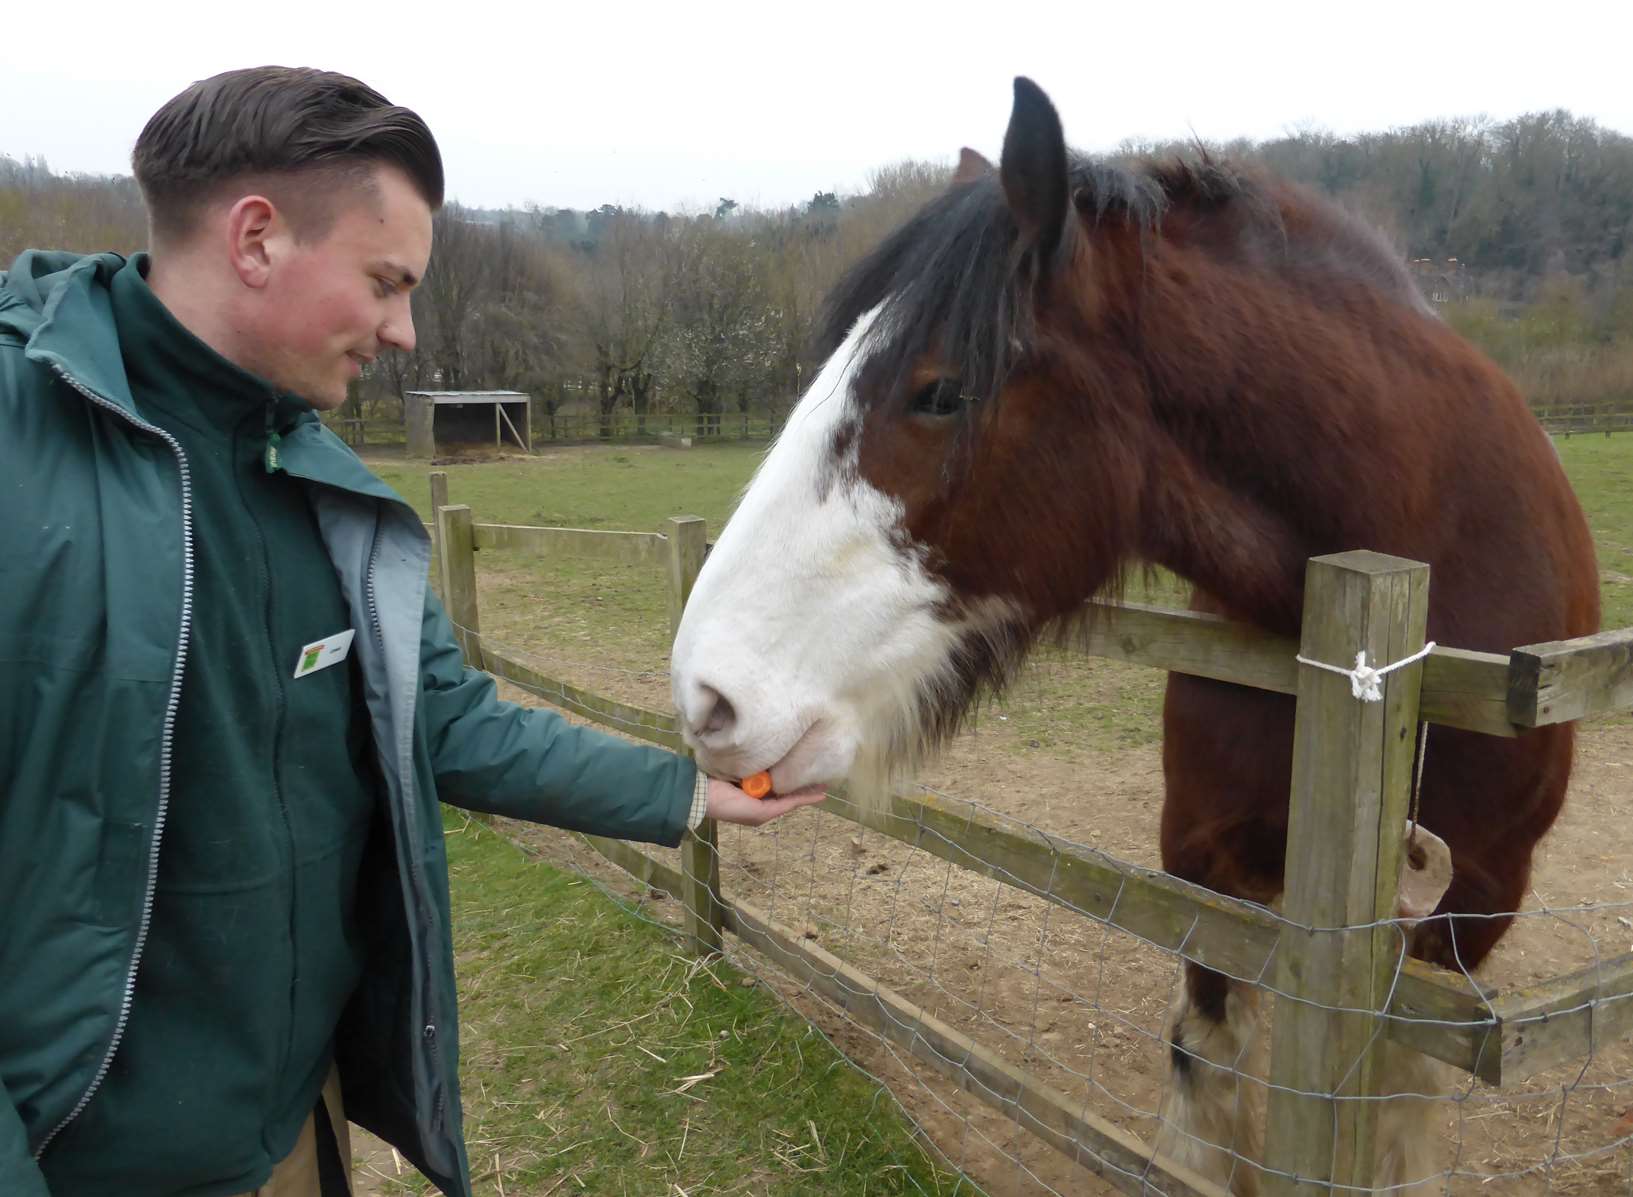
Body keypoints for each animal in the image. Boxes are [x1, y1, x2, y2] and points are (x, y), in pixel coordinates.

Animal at [669, 79, 1600, 1188]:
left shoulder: (1468, 918)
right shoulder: (1204, 867)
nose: (707, 696)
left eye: (940, 390)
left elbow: (1390, 1120)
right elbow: (1209, 1081)